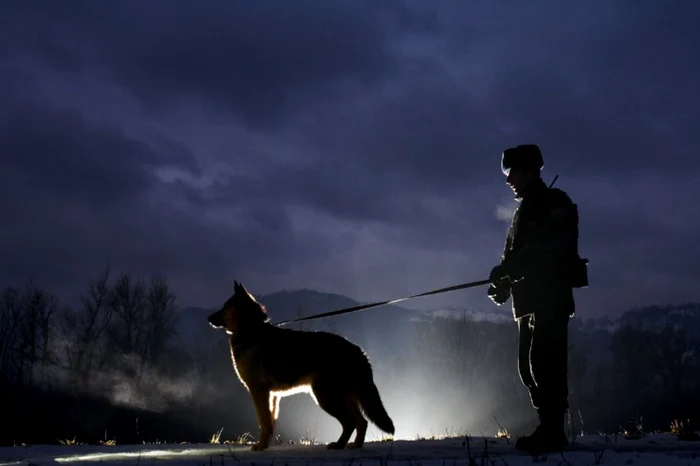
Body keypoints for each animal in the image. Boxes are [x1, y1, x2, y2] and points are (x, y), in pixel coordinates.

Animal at [206, 280, 394, 452]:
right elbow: (270, 422)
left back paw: (339, 445)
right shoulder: (272, 396)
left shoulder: (258, 391)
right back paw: (355, 445)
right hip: (343, 398)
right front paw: (265, 445)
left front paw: (260, 446)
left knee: (350, 422)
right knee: (362, 422)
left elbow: (264, 421)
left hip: (326, 398)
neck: (250, 330)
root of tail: (357, 349)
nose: (208, 319)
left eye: (225, 307)